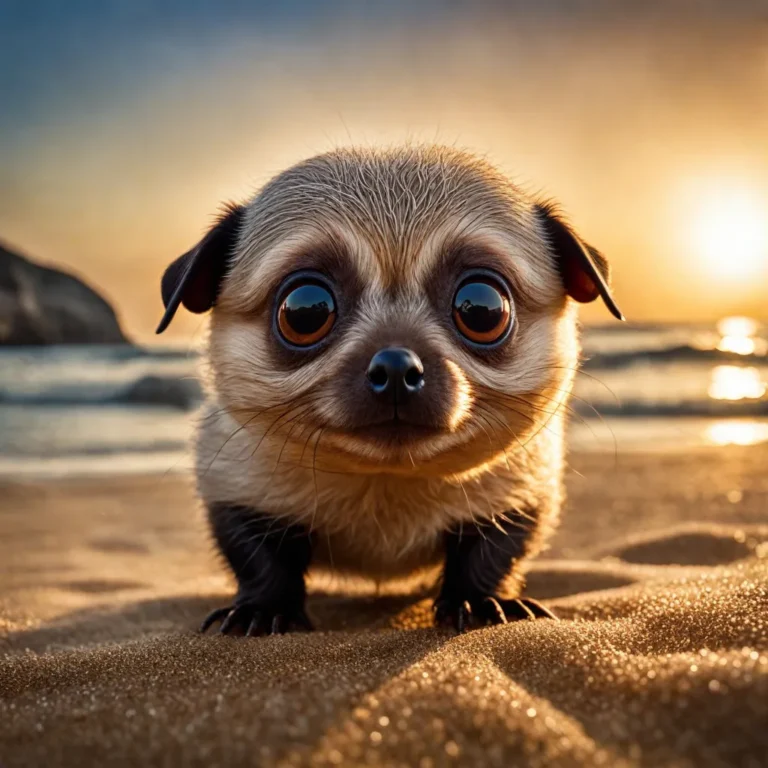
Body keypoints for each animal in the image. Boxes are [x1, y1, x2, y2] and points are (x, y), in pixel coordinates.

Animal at [158, 146, 624, 636]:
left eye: (482, 309)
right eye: (305, 311)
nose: (397, 366)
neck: (386, 483)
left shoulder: (519, 498)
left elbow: (491, 556)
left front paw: (481, 602)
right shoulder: (235, 491)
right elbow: (261, 561)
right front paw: (264, 610)